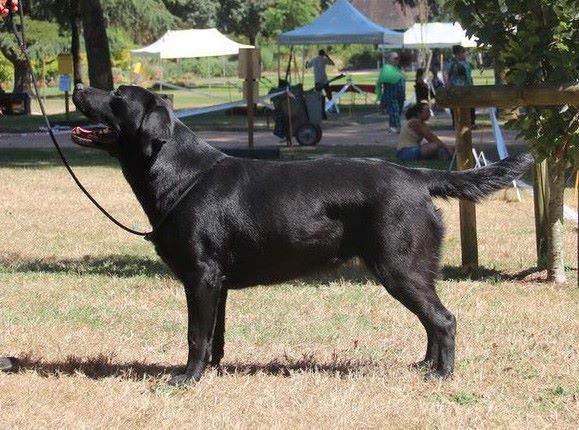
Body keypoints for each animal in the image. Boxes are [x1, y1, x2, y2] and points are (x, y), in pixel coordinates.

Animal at [70, 84, 532, 382]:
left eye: (117, 95)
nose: (77, 86)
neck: (181, 174)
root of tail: (416, 176)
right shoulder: (216, 282)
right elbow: (215, 333)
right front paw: (214, 371)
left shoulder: (200, 274)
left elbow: (195, 333)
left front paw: (187, 379)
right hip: (413, 270)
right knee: (432, 321)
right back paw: (426, 366)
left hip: (400, 268)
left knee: (444, 320)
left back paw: (442, 376)